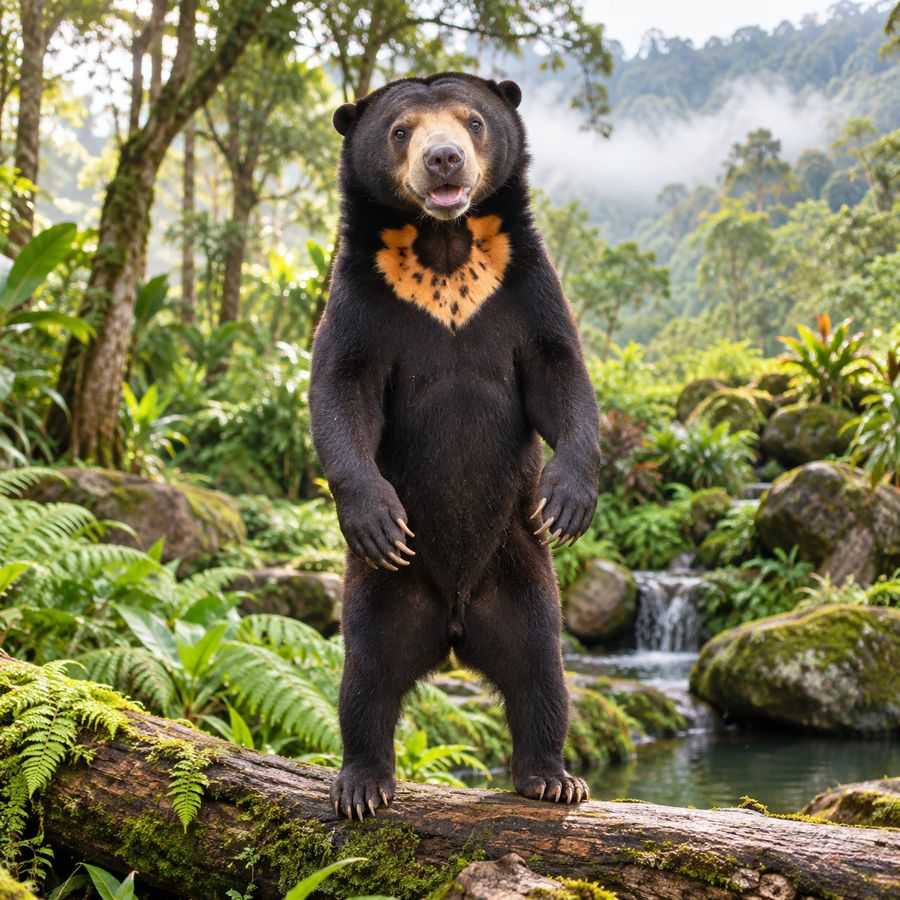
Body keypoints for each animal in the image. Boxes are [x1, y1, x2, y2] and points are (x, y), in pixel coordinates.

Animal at [309, 72, 601, 820]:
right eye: (400, 131)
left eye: (472, 121)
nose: (444, 160)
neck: (444, 245)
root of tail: (454, 628)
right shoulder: (363, 292)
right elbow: (341, 389)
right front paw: (378, 518)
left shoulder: (523, 281)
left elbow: (560, 372)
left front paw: (566, 503)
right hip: (384, 592)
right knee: (367, 677)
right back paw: (363, 785)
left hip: (521, 574)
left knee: (540, 673)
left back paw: (552, 777)